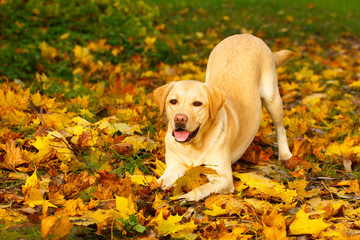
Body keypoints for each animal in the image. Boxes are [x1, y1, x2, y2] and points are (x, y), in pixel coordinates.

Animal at [154, 32, 292, 200]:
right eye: (173, 101)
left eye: (197, 103)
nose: (180, 118)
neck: (193, 146)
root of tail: (245, 35)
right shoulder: (173, 168)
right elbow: (162, 180)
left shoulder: (223, 177)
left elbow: (201, 188)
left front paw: (186, 197)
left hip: (272, 98)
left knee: (280, 128)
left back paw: (284, 153)